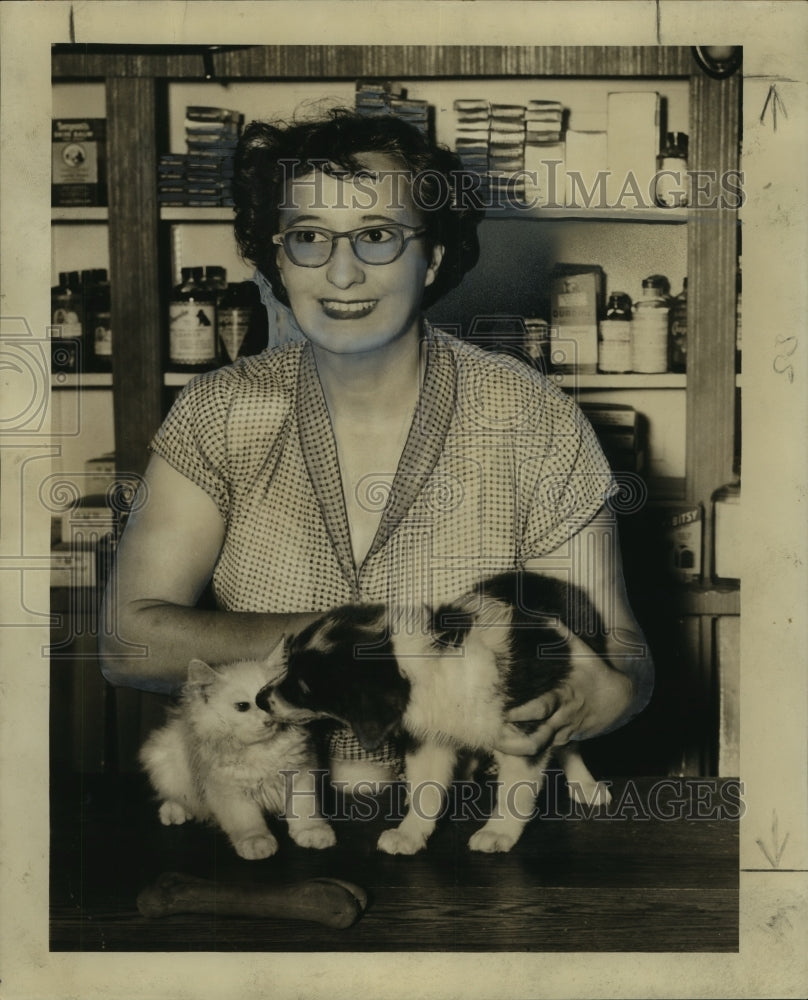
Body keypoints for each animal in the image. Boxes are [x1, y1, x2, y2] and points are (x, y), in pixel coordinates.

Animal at [140, 656, 336, 860]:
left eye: (270, 701)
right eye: (243, 706)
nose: (269, 721)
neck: (262, 749)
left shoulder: (301, 774)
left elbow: (304, 809)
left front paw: (313, 831)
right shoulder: (228, 790)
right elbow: (247, 822)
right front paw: (256, 842)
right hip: (165, 759)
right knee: (176, 796)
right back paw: (174, 812)